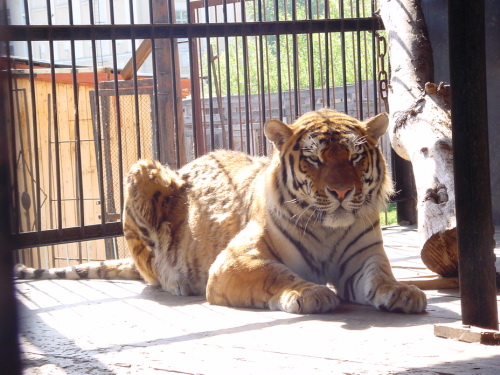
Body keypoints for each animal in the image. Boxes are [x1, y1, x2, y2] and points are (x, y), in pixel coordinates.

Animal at [17, 108, 428, 314]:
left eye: (356, 157)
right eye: (314, 159)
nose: (342, 191)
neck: (329, 228)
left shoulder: (364, 259)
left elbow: (380, 278)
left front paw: (404, 293)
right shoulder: (235, 262)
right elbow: (277, 274)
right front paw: (311, 293)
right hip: (142, 169)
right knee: (151, 270)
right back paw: (175, 279)